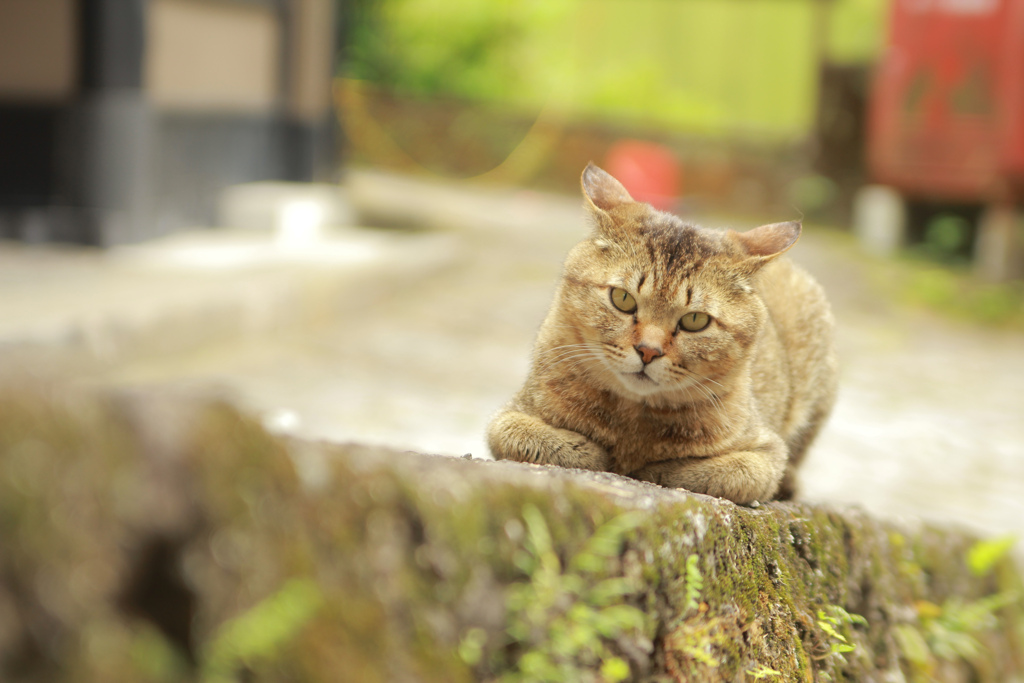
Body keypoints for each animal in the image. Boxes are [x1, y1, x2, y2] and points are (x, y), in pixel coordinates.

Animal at [489, 162, 839, 505]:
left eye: (695, 320)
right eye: (622, 299)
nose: (648, 350)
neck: (633, 420)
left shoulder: (765, 452)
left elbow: (735, 473)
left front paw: (655, 468)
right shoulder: (509, 415)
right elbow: (521, 436)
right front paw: (592, 451)